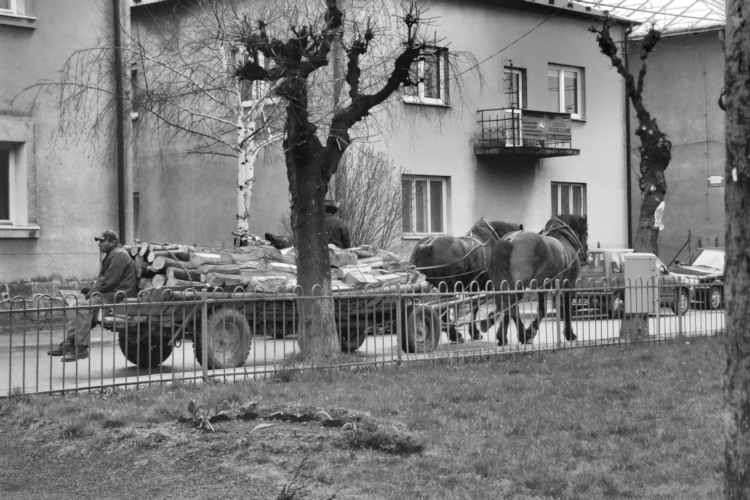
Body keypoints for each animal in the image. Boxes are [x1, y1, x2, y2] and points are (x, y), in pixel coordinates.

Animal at [490, 215, 592, 348]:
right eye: (586, 234)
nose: (587, 254)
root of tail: (509, 241)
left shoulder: (542, 285)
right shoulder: (568, 283)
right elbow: (562, 309)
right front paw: (569, 334)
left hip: (505, 284)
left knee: (507, 306)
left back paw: (504, 336)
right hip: (519, 285)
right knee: (512, 309)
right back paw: (524, 335)